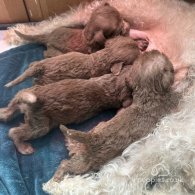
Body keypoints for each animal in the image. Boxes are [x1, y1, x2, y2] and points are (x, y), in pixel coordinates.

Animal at [5, 36, 140, 87]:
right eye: (137, 54)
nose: (141, 49)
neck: (105, 56)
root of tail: (39, 68)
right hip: (45, 80)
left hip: (42, 63)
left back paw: (32, 64)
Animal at [52, 50, 181, 181]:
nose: (173, 68)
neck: (147, 94)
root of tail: (90, 138)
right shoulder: (170, 101)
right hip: (84, 163)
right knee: (66, 164)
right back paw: (58, 176)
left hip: (89, 137)